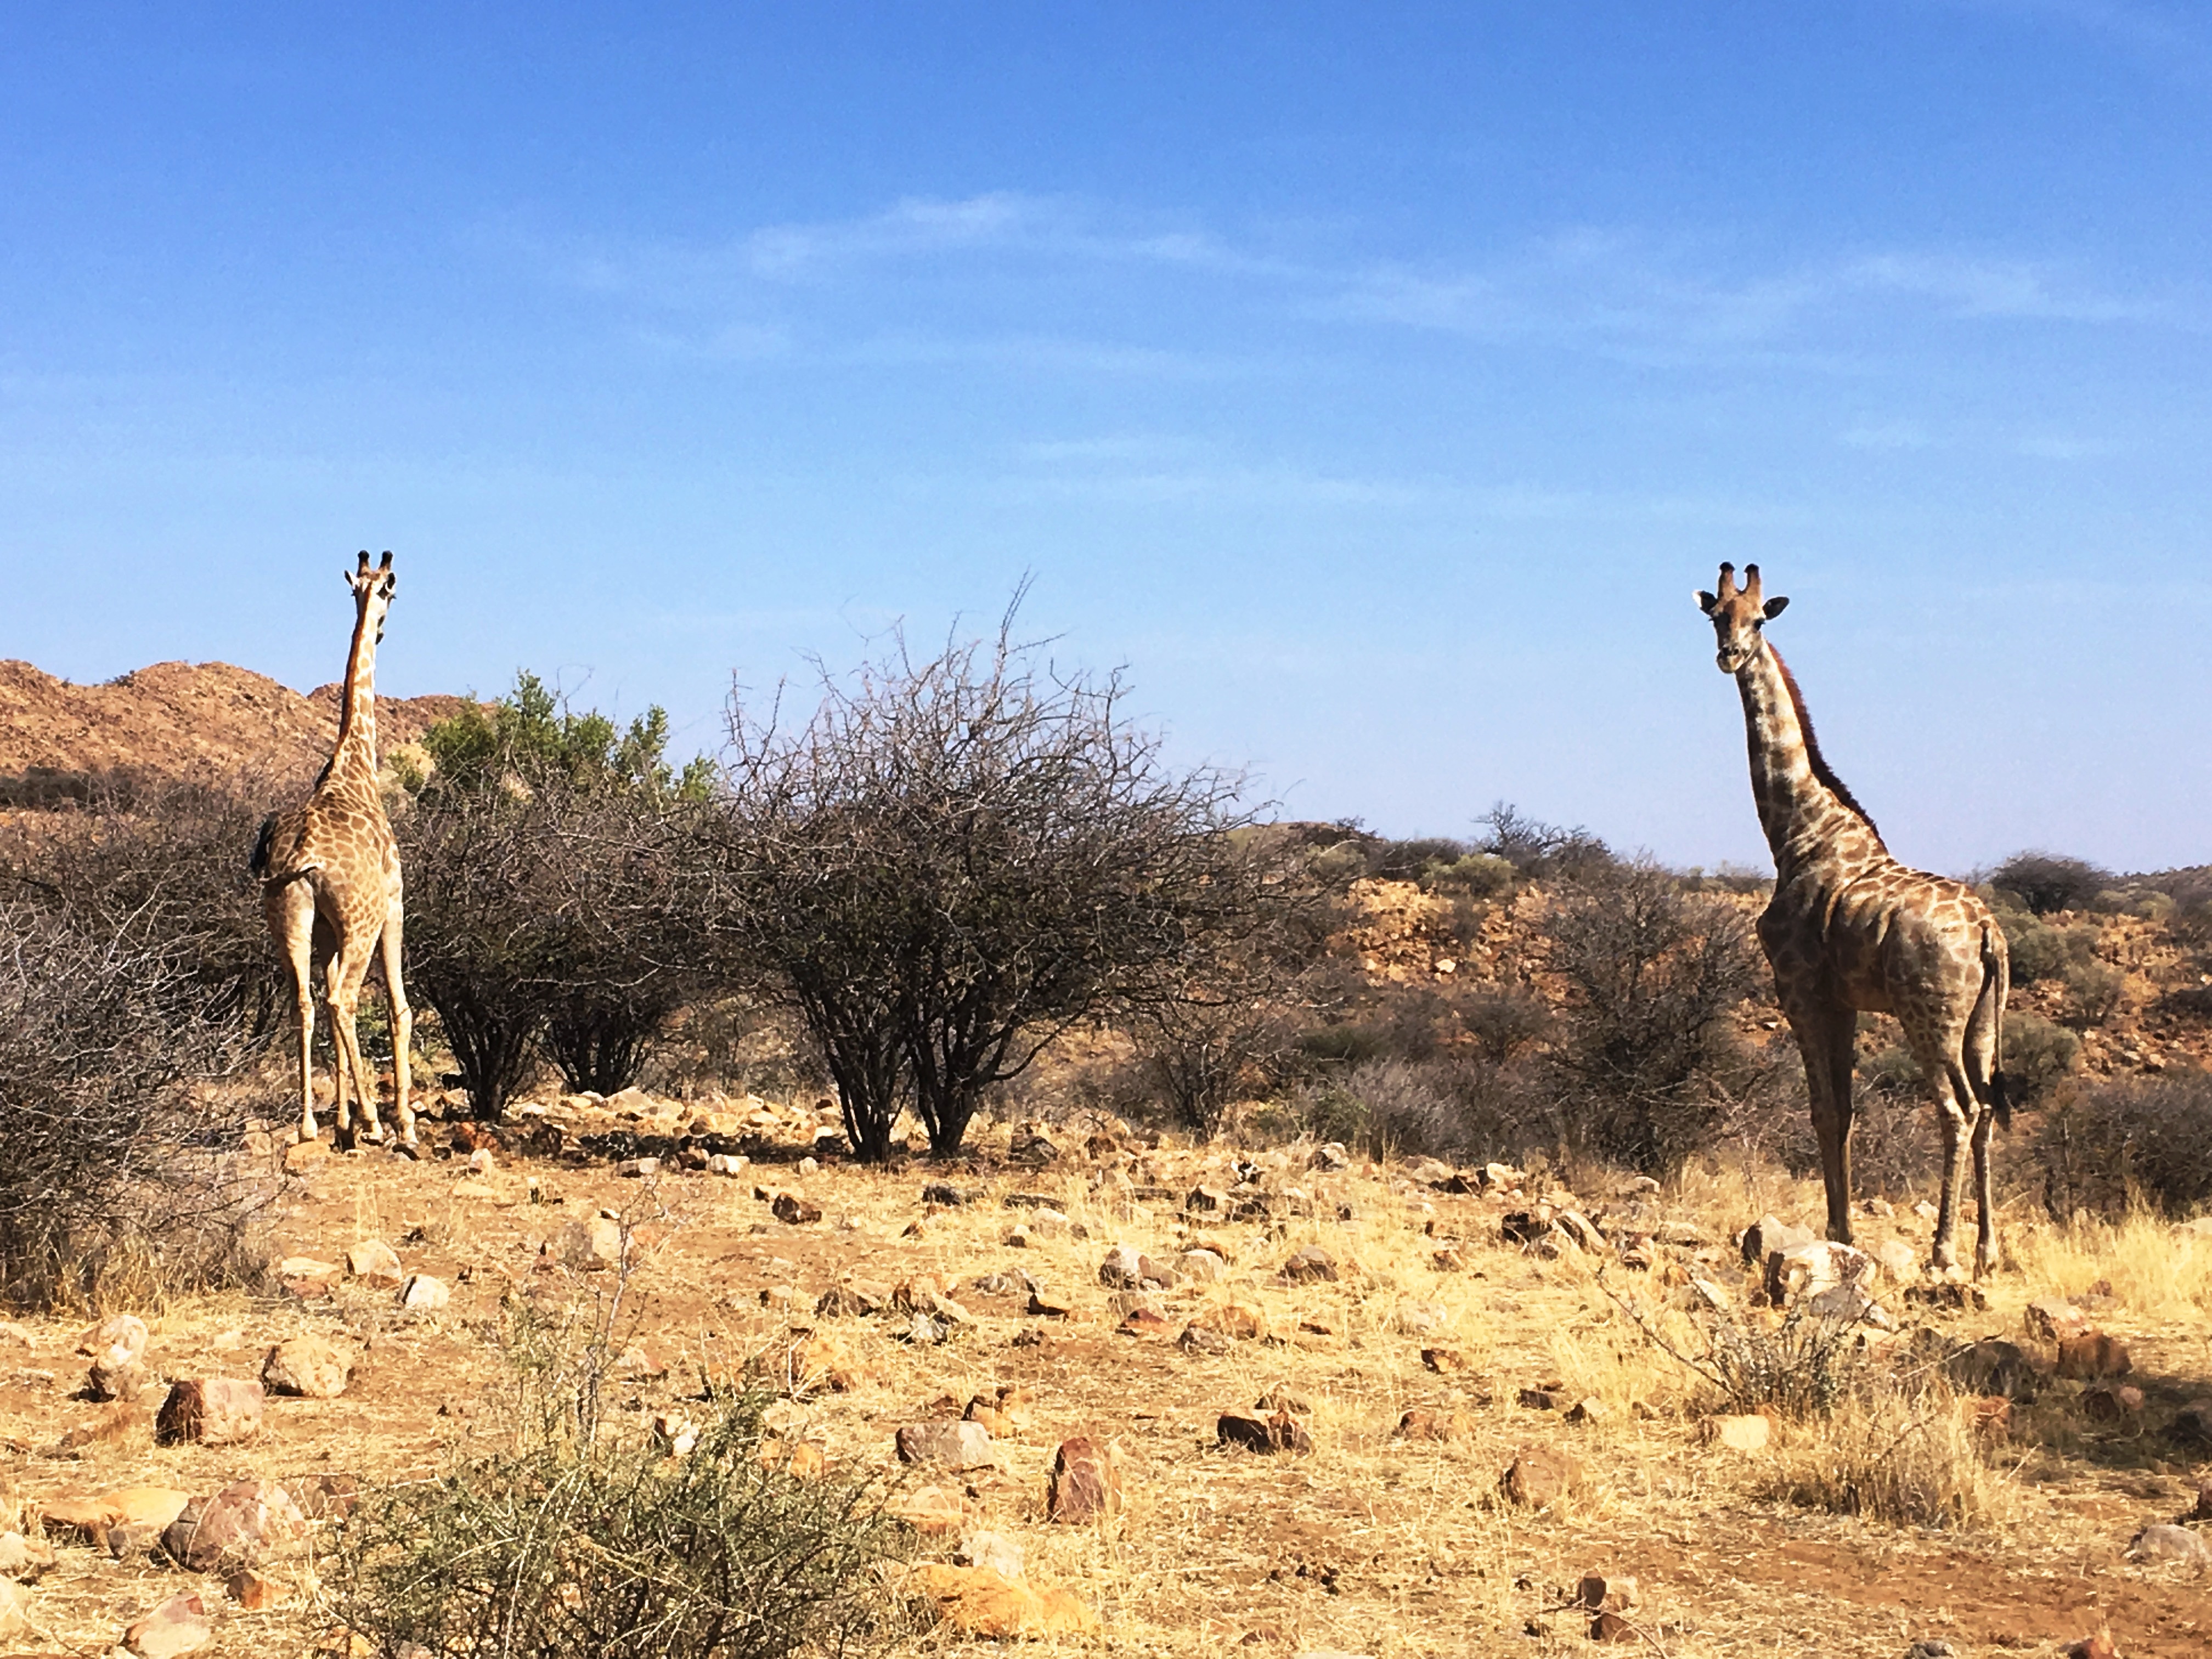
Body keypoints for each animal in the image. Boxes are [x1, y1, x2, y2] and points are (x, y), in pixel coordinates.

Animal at [254, 553, 418, 1150]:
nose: (383, 627)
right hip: (362, 921)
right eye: (393, 593)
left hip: (288, 913)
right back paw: (377, 1121)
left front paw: (341, 1120)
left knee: (305, 1001)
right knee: (344, 1002)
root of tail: (302, 855)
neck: (356, 762)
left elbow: (320, 1002)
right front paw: (395, 1120)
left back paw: (306, 1124)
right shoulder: (395, 905)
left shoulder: (326, 929)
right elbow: (399, 1008)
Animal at [1690, 566, 2008, 1283]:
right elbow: (1846, 1110)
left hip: (1930, 1014)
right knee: (1987, 1110)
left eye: (1759, 620)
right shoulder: (1845, 1001)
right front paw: (1845, 1230)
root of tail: (1989, 936)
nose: (1729, 656)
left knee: (1957, 1109)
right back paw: (1985, 1253)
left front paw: (1840, 1229)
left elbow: (1825, 1109)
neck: (1795, 832)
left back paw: (1945, 1252)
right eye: (1717, 615)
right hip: (1982, 1022)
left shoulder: (1801, 990)